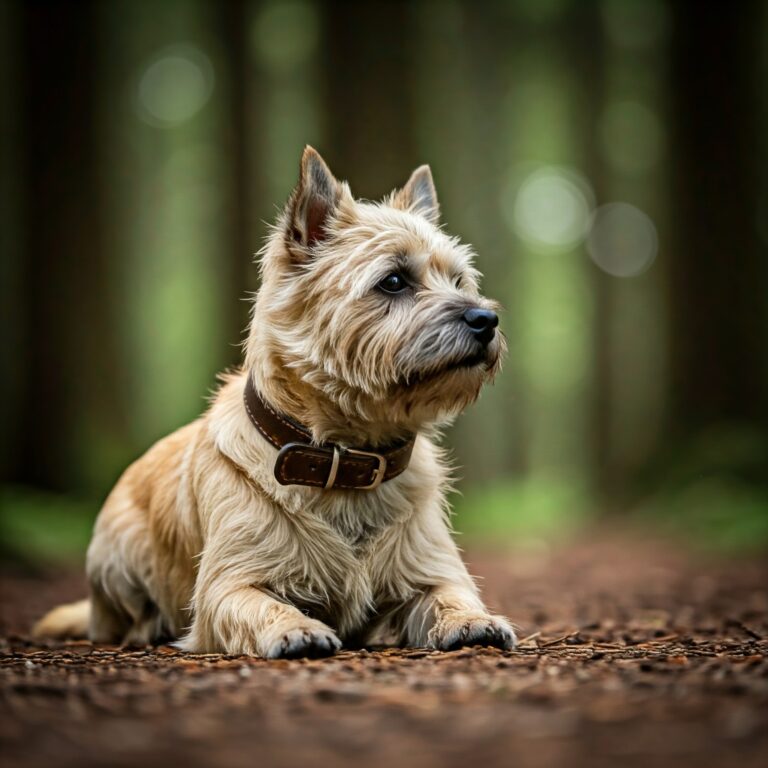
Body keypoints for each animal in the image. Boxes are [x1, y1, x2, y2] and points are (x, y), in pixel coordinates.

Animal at [34, 147, 516, 656]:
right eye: (393, 281)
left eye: (459, 280)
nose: (486, 319)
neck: (346, 458)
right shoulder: (228, 585)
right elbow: (261, 604)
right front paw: (295, 628)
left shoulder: (431, 569)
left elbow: (450, 595)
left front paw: (473, 620)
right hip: (117, 556)